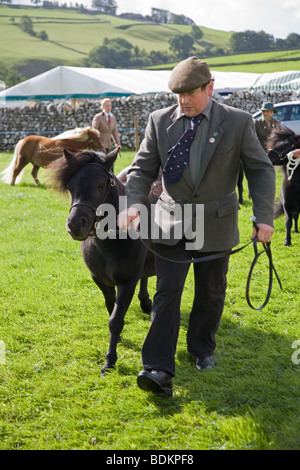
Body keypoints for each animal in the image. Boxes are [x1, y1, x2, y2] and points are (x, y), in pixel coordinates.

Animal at [49, 149, 157, 376]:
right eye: (70, 187)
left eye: (100, 185)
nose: (75, 225)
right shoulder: (99, 280)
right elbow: (110, 308)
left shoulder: (127, 282)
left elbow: (115, 320)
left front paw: (110, 361)